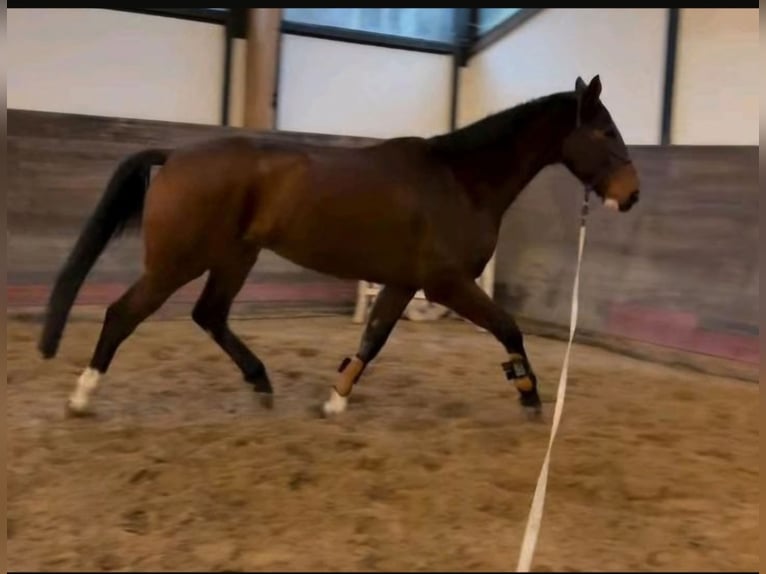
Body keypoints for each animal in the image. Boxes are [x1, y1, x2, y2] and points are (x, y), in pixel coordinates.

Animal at [38, 75, 640, 419]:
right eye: (605, 132)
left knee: (209, 315)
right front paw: (530, 394)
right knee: (122, 314)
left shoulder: (403, 283)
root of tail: (176, 156)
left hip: (235, 257)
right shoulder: (447, 284)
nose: (631, 195)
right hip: (178, 261)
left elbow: (372, 339)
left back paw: (261, 383)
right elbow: (508, 328)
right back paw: (81, 397)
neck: (460, 180)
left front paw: (334, 400)